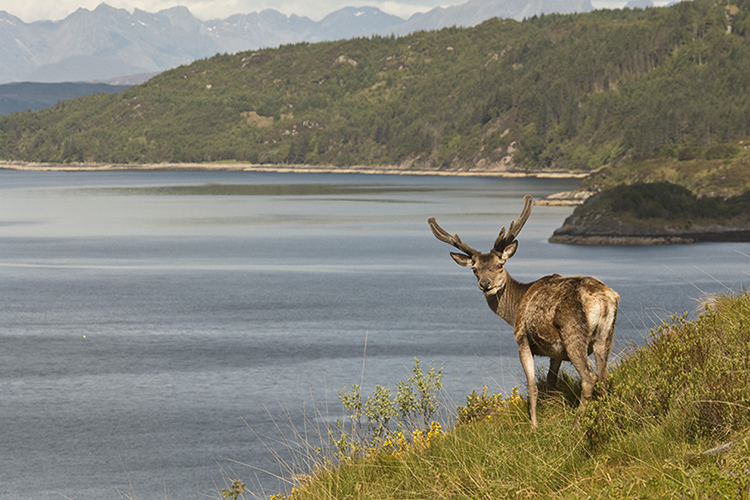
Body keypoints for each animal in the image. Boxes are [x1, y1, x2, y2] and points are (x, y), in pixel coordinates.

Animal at [428, 194, 619, 427]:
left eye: (500, 265)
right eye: (475, 269)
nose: (486, 284)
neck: (514, 310)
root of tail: (603, 298)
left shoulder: (522, 339)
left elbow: (532, 386)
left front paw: (534, 426)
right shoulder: (555, 352)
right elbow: (551, 383)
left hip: (573, 334)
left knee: (589, 377)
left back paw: (577, 424)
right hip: (605, 335)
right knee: (604, 376)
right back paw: (603, 417)